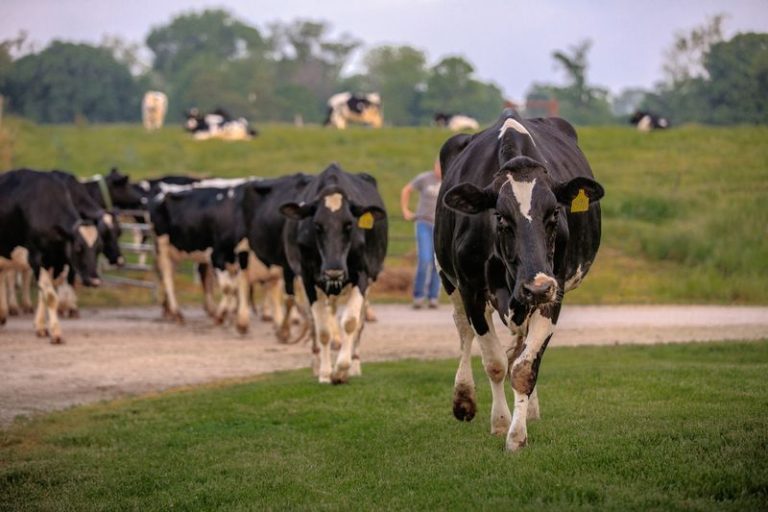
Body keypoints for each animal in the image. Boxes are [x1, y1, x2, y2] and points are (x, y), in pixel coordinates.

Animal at [0, 169, 102, 343]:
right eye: (78, 247)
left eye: (98, 248)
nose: (95, 281)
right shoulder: (36, 259)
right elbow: (50, 296)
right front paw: (56, 333)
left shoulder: (55, 262)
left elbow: (44, 294)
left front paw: (41, 327)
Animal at [280, 163, 388, 384]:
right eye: (317, 225)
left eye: (349, 225)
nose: (334, 270)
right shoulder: (308, 277)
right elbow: (323, 330)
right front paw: (325, 373)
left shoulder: (362, 274)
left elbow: (350, 322)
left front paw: (342, 370)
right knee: (315, 321)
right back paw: (317, 364)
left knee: (359, 322)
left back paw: (354, 363)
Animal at [434, 109, 604, 451]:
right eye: (500, 217)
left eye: (554, 214)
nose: (535, 286)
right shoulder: (471, 288)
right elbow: (495, 363)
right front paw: (500, 422)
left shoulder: (554, 289)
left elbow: (525, 367)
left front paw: (517, 434)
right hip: (449, 280)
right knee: (463, 331)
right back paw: (464, 399)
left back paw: (531, 409)